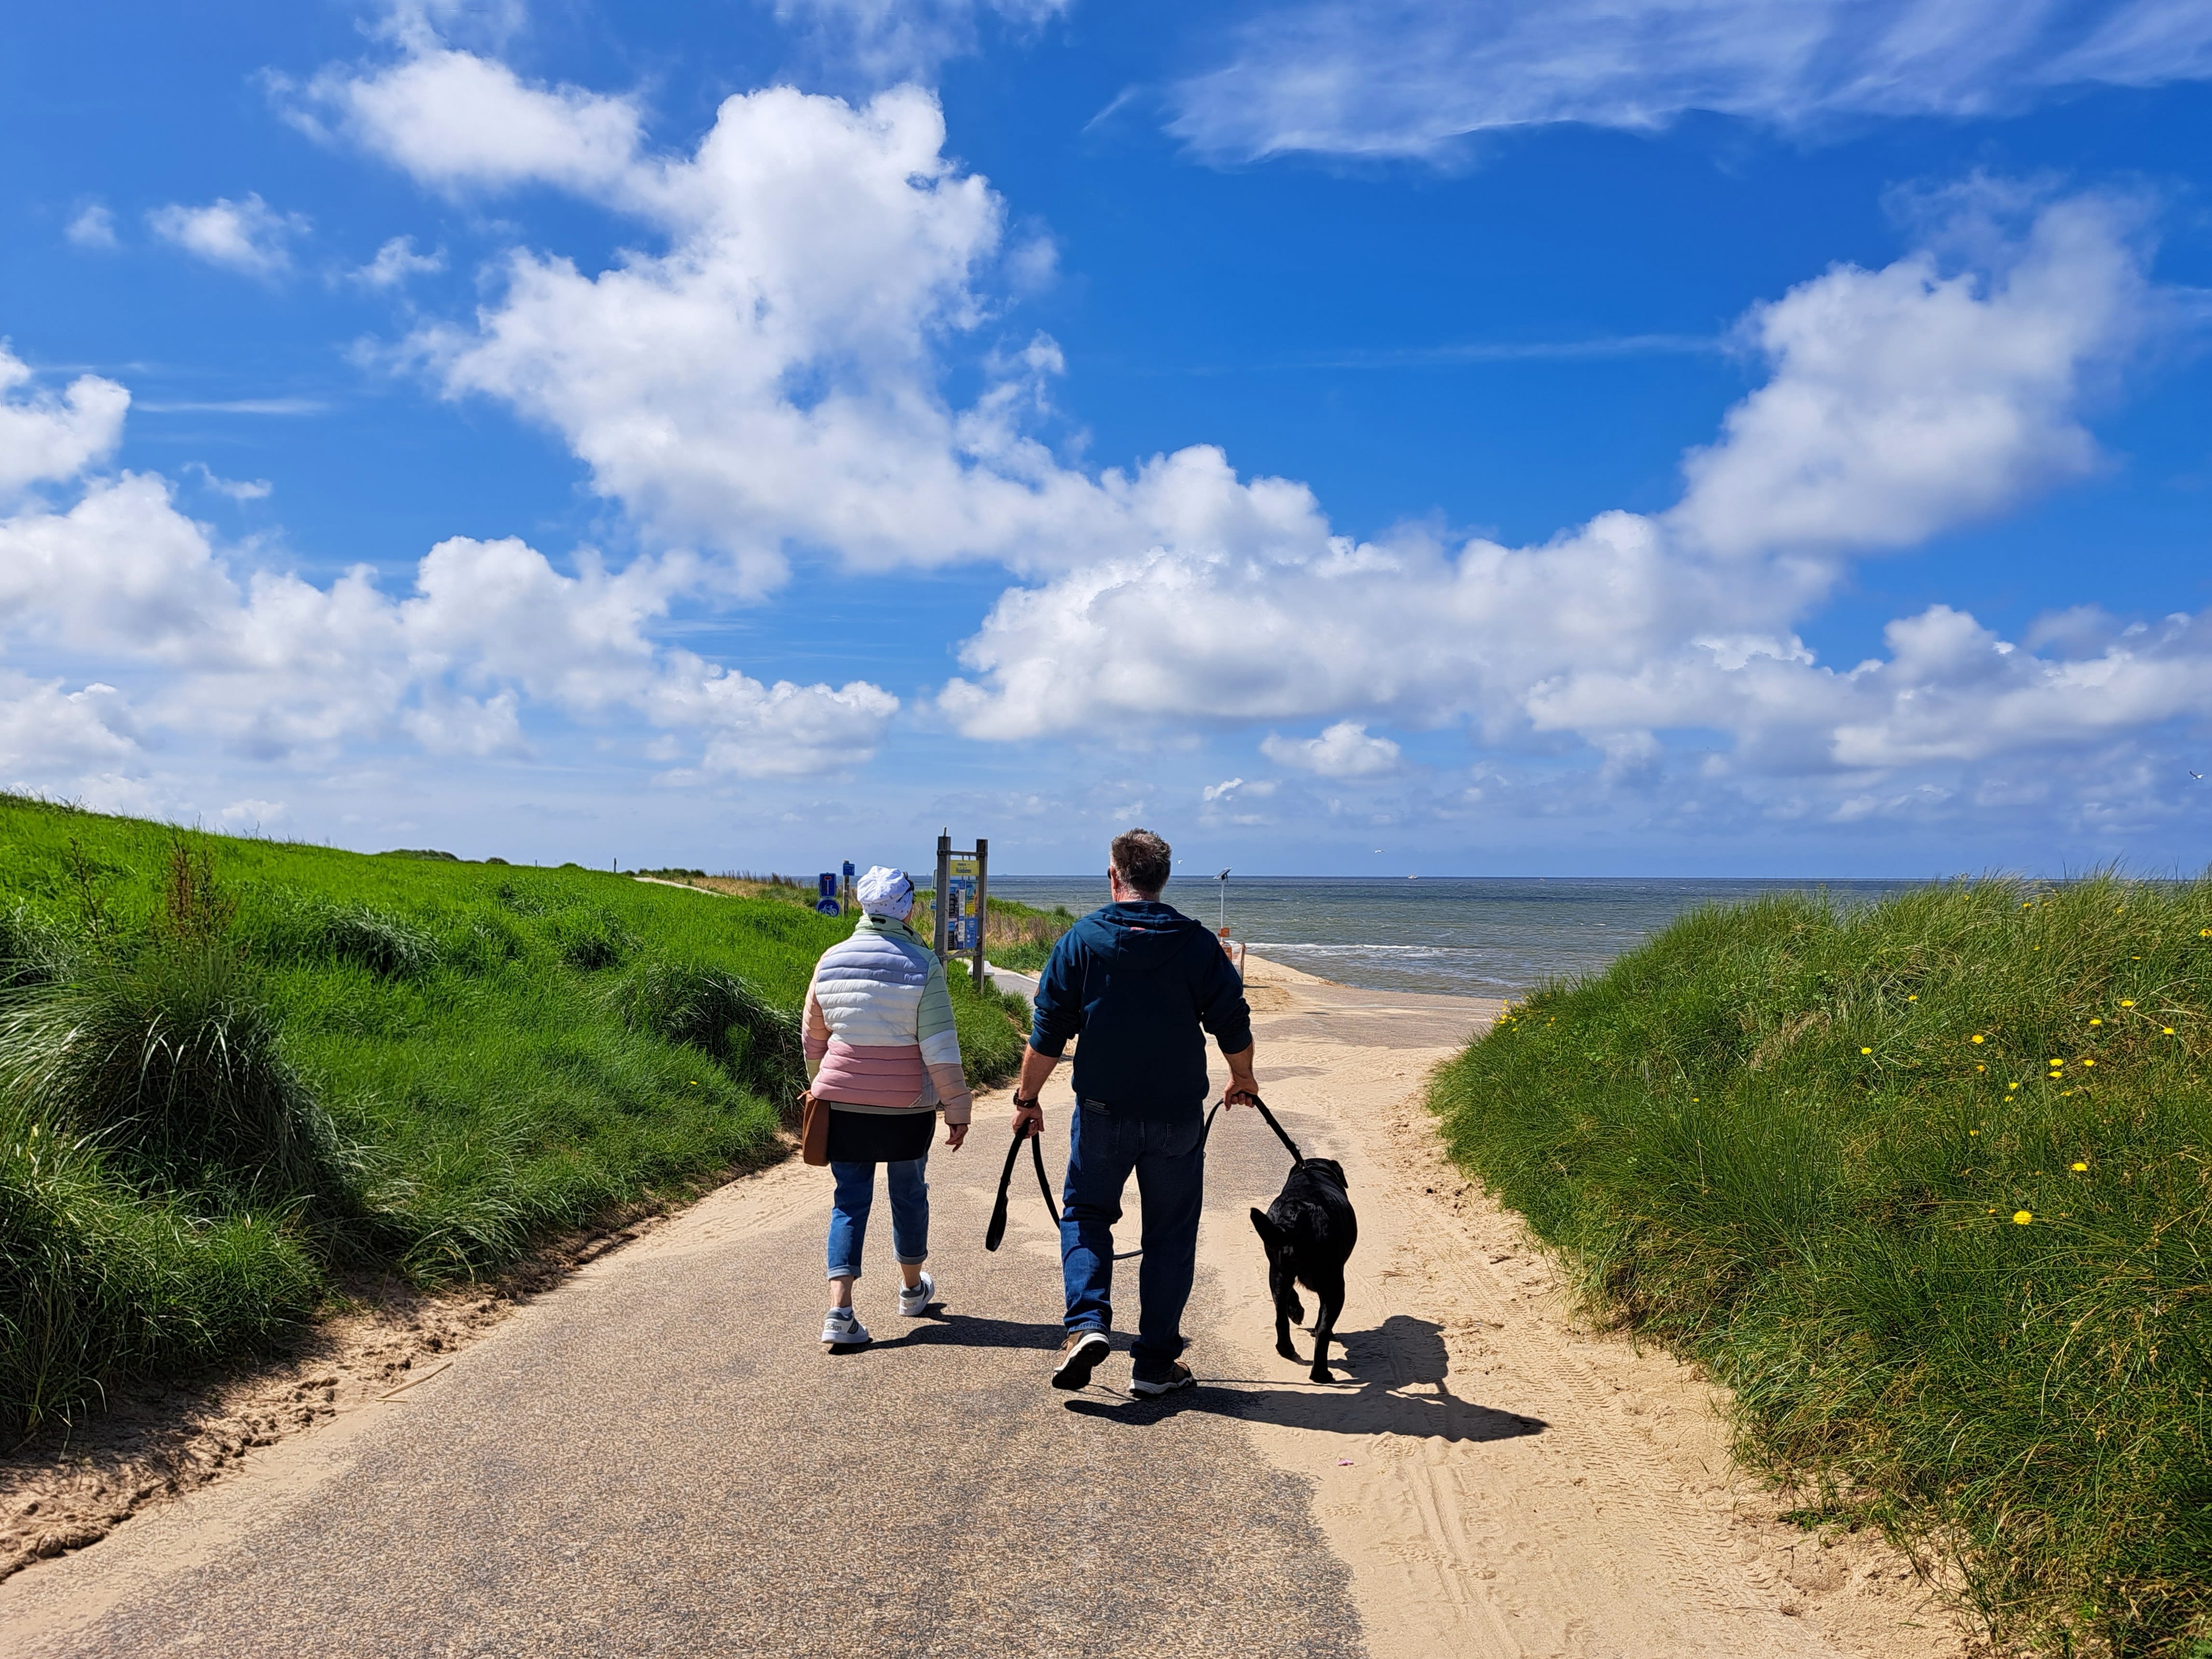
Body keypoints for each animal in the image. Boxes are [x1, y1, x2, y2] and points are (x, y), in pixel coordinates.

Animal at [1256, 1159, 1354, 1389]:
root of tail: (1297, 1216)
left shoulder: (1280, 1272)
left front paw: (1296, 1311)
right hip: (1336, 1287)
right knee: (1323, 1333)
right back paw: (1321, 1374)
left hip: (1278, 1272)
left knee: (1280, 1318)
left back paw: (1286, 1348)